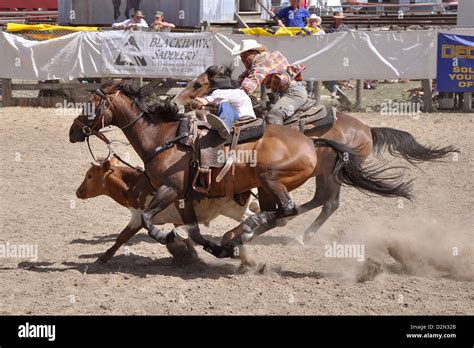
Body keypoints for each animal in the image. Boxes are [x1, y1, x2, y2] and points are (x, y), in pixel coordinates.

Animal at [68, 80, 412, 268]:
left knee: (293, 209)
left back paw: (244, 234)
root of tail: (311, 142)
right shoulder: (186, 198)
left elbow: (150, 221)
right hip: (274, 186)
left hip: (275, 179)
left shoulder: (170, 190)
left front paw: (171, 240)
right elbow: (191, 230)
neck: (163, 138)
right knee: (289, 211)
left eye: (91, 104)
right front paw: (204, 246)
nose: (73, 130)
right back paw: (235, 239)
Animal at [173, 66, 460, 245]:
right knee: (322, 200)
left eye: (198, 84)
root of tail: (368, 129)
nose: (175, 102)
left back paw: (299, 234)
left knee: (329, 203)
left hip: (331, 174)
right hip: (325, 173)